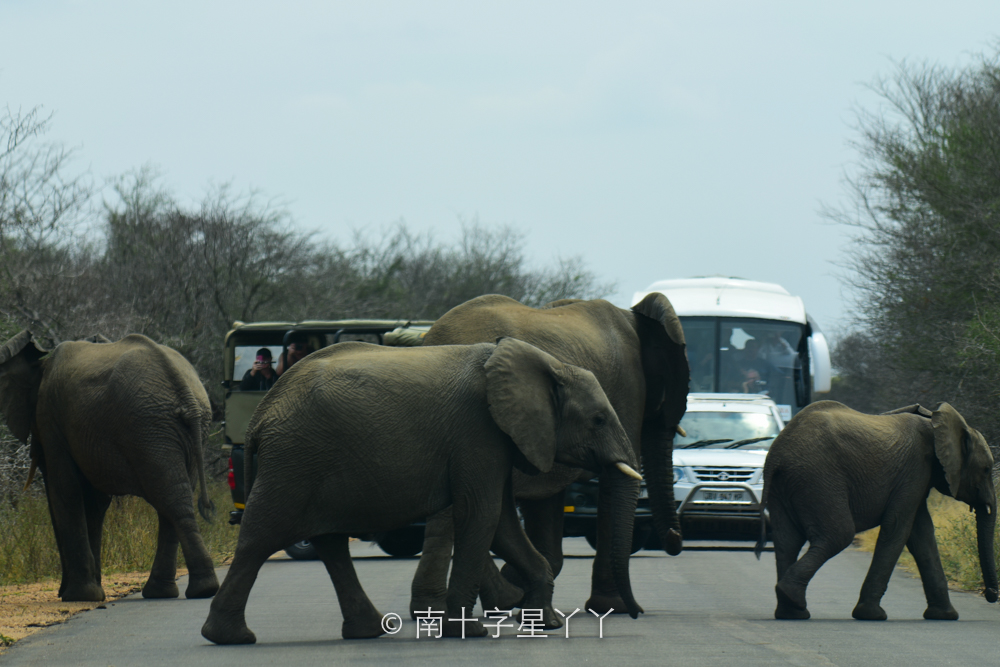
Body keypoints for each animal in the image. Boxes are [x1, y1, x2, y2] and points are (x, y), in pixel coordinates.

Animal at [0, 332, 219, 604]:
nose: (60, 591)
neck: (41, 363)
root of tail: (186, 393)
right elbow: (94, 502)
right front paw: (90, 593)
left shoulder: (51, 420)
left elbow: (66, 490)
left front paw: (80, 596)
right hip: (175, 432)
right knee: (175, 498)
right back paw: (179, 591)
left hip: (147, 429)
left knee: (170, 499)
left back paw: (191, 591)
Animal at [202, 340, 640, 648]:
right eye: (598, 420)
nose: (636, 615)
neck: (546, 363)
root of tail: (261, 414)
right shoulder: (478, 432)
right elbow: (481, 515)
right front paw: (468, 632)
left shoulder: (497, 440)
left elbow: (501, 520)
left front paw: (543, 623)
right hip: (294, 460)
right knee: (260, 538)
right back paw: (230, 638)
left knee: (330, 543)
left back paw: (369, 632)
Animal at [408, 294, 688, 620]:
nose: (674, 537)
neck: (634, 317)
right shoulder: (629, 388)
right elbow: (611, 484)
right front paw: (612, 607)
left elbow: (546, 499)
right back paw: (499, 599)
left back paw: (437, 609)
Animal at [756, 400, 1000, 624]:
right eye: (986, 469)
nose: (991, 595)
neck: (935, 421)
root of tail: (776, 455)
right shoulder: (916, 469)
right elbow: (898, 528)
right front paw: (872, 615)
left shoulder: (917, 478)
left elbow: (921, 535)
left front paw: (946, 616)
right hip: (817, 479)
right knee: (838, 535)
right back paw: (791, 598)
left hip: (787, 484)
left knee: (787, 541)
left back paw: (791, 612)